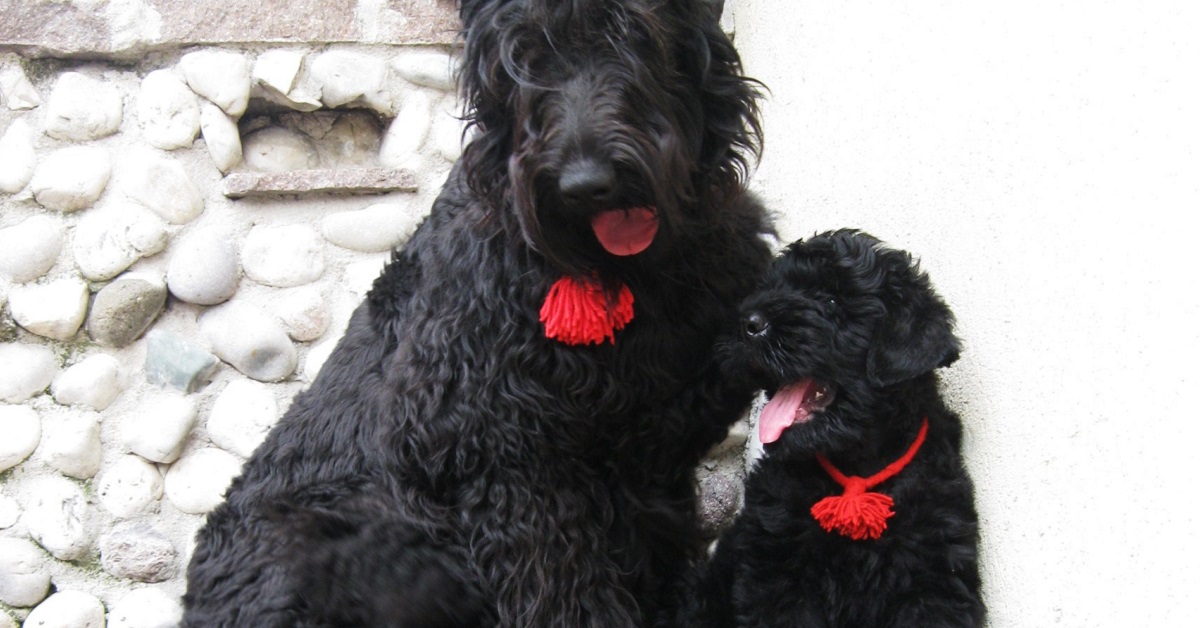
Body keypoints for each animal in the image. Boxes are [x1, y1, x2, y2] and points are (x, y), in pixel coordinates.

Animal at [182, 2, 772, 624]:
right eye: (522, 58)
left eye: (634, 34)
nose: (585, 185)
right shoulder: (503, 458)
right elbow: (566, 588)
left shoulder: (661, 432)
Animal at [686, 231, 984, 628]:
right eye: (773, 287)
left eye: (831, 300)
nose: (747, 323)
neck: (858, 470)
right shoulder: (778, 575)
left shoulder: (936, 579)